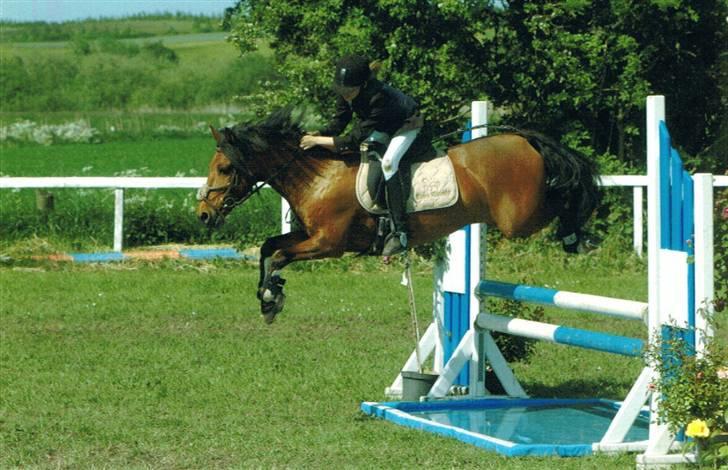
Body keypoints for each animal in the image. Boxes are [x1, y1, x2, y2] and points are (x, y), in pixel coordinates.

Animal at [196, 108, 601, 324]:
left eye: (225, 168)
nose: (203, 214)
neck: (317, 177)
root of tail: (523, 140)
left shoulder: (328, 244)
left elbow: (279, 255)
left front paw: (271, 295)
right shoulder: (309, 236)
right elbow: (269, 248)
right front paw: (268, 298)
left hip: (519, 218)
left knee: (560, 199)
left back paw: (578, 236)